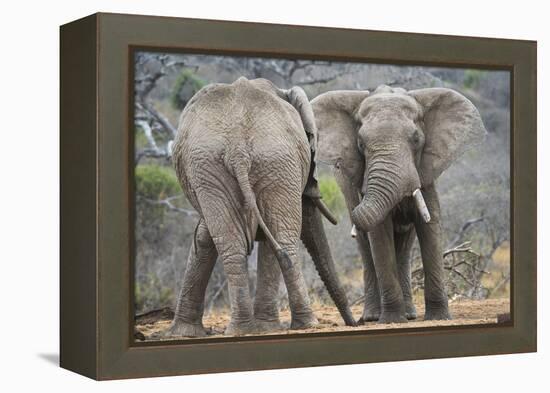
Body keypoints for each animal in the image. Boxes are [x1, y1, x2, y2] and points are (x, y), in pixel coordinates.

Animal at [170, 77, 356, 336]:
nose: (355, 322)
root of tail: (237, 148)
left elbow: (205, 236)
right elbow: (206, 236)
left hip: (239, 165)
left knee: (240, 243)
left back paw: (247, 329)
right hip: (251, 163)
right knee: (276, 238)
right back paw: (297, 325)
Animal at [312, 84, 490, 324]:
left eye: (416, 139)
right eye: (360, 144)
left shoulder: (426, 173)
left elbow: (430, 225)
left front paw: (439, 318)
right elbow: (379, 233)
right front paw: (392, 320)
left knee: (405, 245)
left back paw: (410, 314)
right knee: (366, 246)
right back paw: (373, 316)